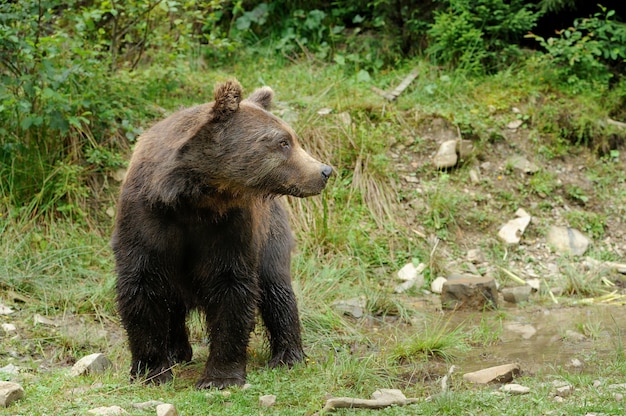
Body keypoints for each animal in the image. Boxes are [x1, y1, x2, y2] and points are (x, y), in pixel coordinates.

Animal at [111, 79, 332, 388]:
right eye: (283, 142)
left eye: (292, 138)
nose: (324, 171)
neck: (193, 198)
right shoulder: (146, 219)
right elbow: (142, 285)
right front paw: (151, 370)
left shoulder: (229, 224)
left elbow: (231, 285)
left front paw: (220, 377)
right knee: (173, 301)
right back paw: (176, 351)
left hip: (271, 232)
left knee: (276, 288)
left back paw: (287, 355)